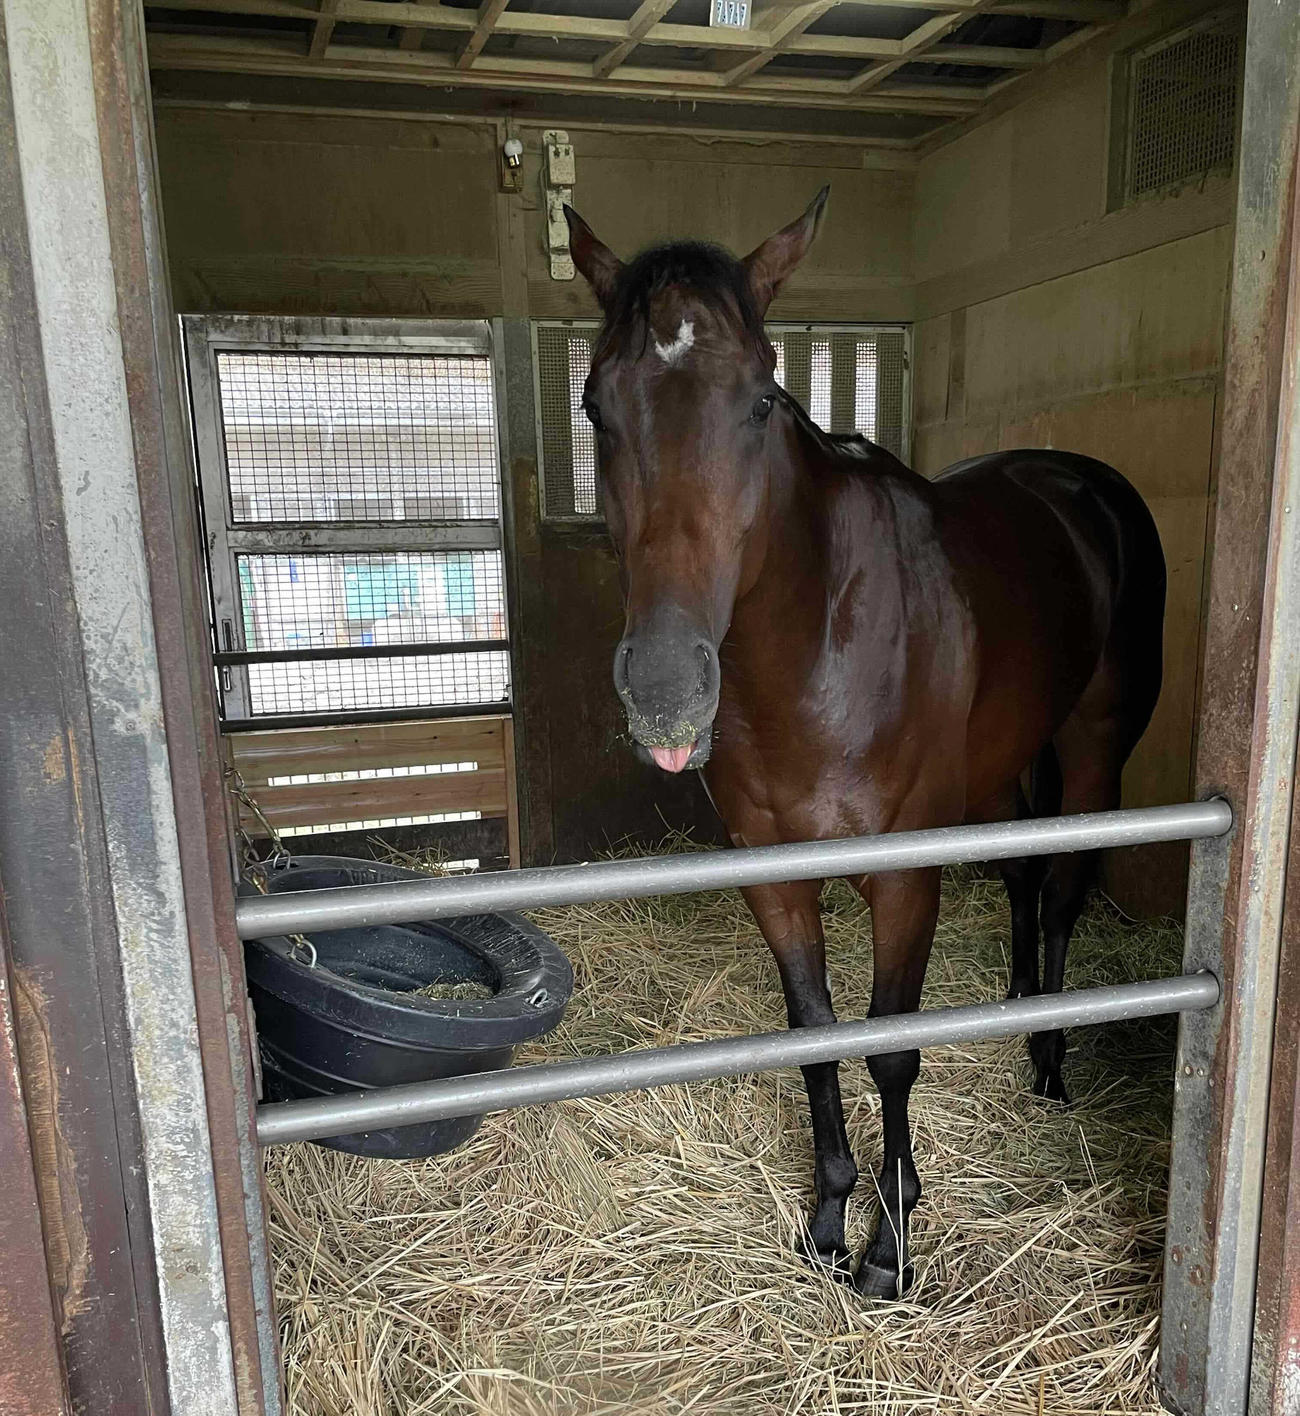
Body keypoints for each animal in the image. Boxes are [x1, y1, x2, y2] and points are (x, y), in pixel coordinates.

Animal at [563, 188, 1165, 1297]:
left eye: (761, 400)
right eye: (594, 404)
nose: (665, 691)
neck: (819, 647)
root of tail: (1081, 485)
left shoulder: (903, 876)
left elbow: (893, 1049)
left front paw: (890, 1246)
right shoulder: (771, 873)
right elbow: (815, 1039)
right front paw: (830, 1215)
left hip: (1096, 747)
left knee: (1063, 892)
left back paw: (1048, 1058)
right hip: (1006, 769)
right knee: (1024, 880)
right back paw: (1016, 1003)